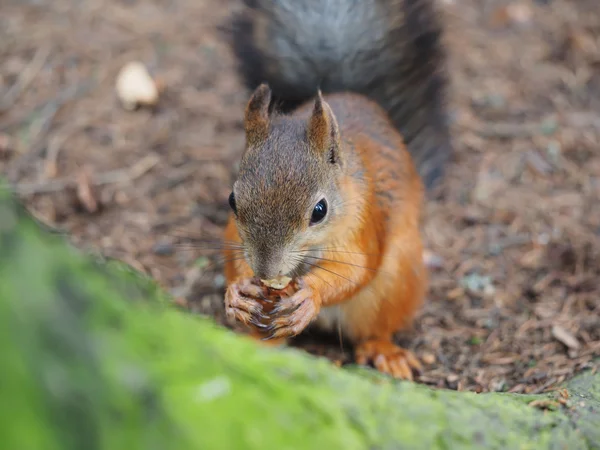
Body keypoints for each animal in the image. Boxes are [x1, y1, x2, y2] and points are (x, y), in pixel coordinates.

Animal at [220, 0, 450, 380]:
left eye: (320, 211)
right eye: (232, 200)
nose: (266, 273)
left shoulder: (362, 222)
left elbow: (356, 268)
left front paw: (310, 294)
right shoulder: (231, 233)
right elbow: (232, 257)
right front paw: (238, 290)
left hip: (395, 282)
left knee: (375, 328)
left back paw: (384, 351)